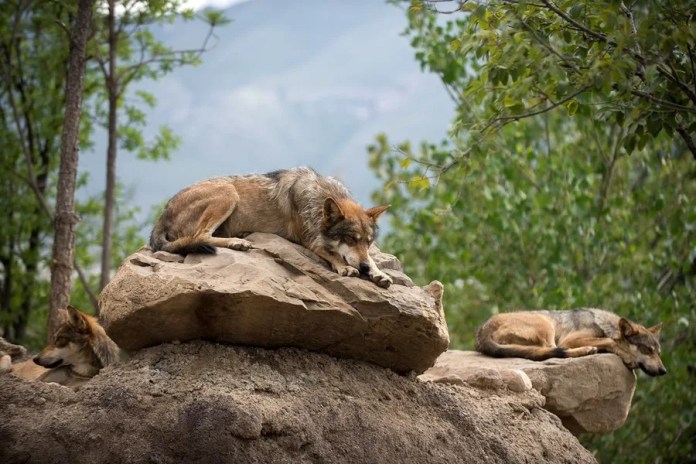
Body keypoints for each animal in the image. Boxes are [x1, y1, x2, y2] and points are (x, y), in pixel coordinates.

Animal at [149, 167, 393, 288]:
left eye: (368, 242)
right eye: (350, 239)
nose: (363, 268)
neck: (319, 193)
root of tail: (163, 213)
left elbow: (371, 259)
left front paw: (377, 272)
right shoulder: (310, 240)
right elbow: (333, 254)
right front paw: (346, 268)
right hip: (228, 192)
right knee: (202, 235)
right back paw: (237, 242)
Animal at [475, 308, 667, 376]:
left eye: (658, 353)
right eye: (647, 350)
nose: (664, 371)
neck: (604, 325)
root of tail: (483, 329)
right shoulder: (570, 340)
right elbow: (609, 341)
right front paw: (627, 357)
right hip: (546, 325)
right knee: (554, 351)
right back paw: (587, 350)